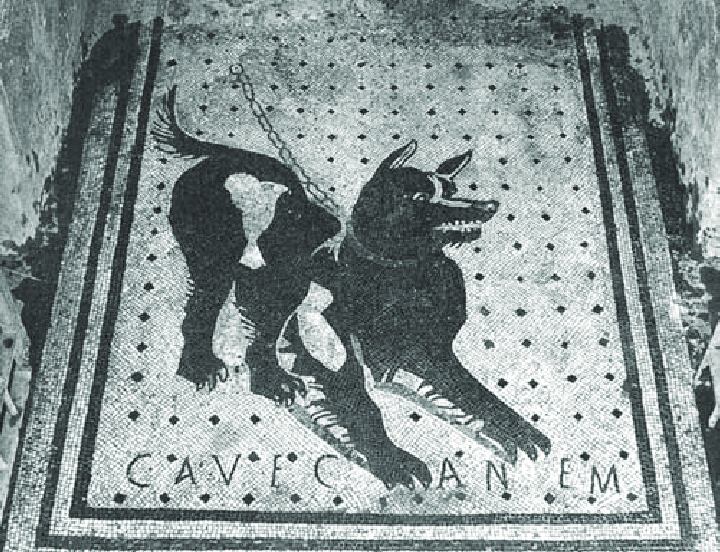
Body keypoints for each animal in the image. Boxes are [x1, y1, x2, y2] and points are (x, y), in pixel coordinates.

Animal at [153, 86, 551, 490]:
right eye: (419, 198)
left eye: (452, 190)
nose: (488, 206)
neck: (400, 274)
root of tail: (224, 159)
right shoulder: (335, 358)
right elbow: (365, 409)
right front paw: (394, 461)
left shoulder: (429, 354)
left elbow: (476, 394)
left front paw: (518, 430)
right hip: (215, 268)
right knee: (201, 315)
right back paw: (206, 368)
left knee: (260, 337)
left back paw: (273, 379)